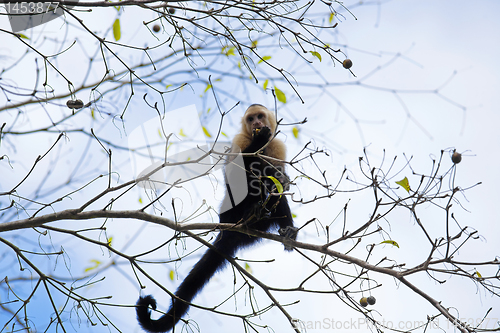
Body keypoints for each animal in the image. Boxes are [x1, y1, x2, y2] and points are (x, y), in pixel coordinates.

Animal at [136, 104, 296, 332]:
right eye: (251, 119)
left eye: (260, 116)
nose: (257, 123)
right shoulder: (240, 140)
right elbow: (235, 172)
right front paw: (258, 142)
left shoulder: (277, 145)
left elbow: (278, 175)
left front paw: (282, 178)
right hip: (228, 215)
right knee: (249, 176)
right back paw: (251, 212)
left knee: (274, 189)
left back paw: (286, 229)